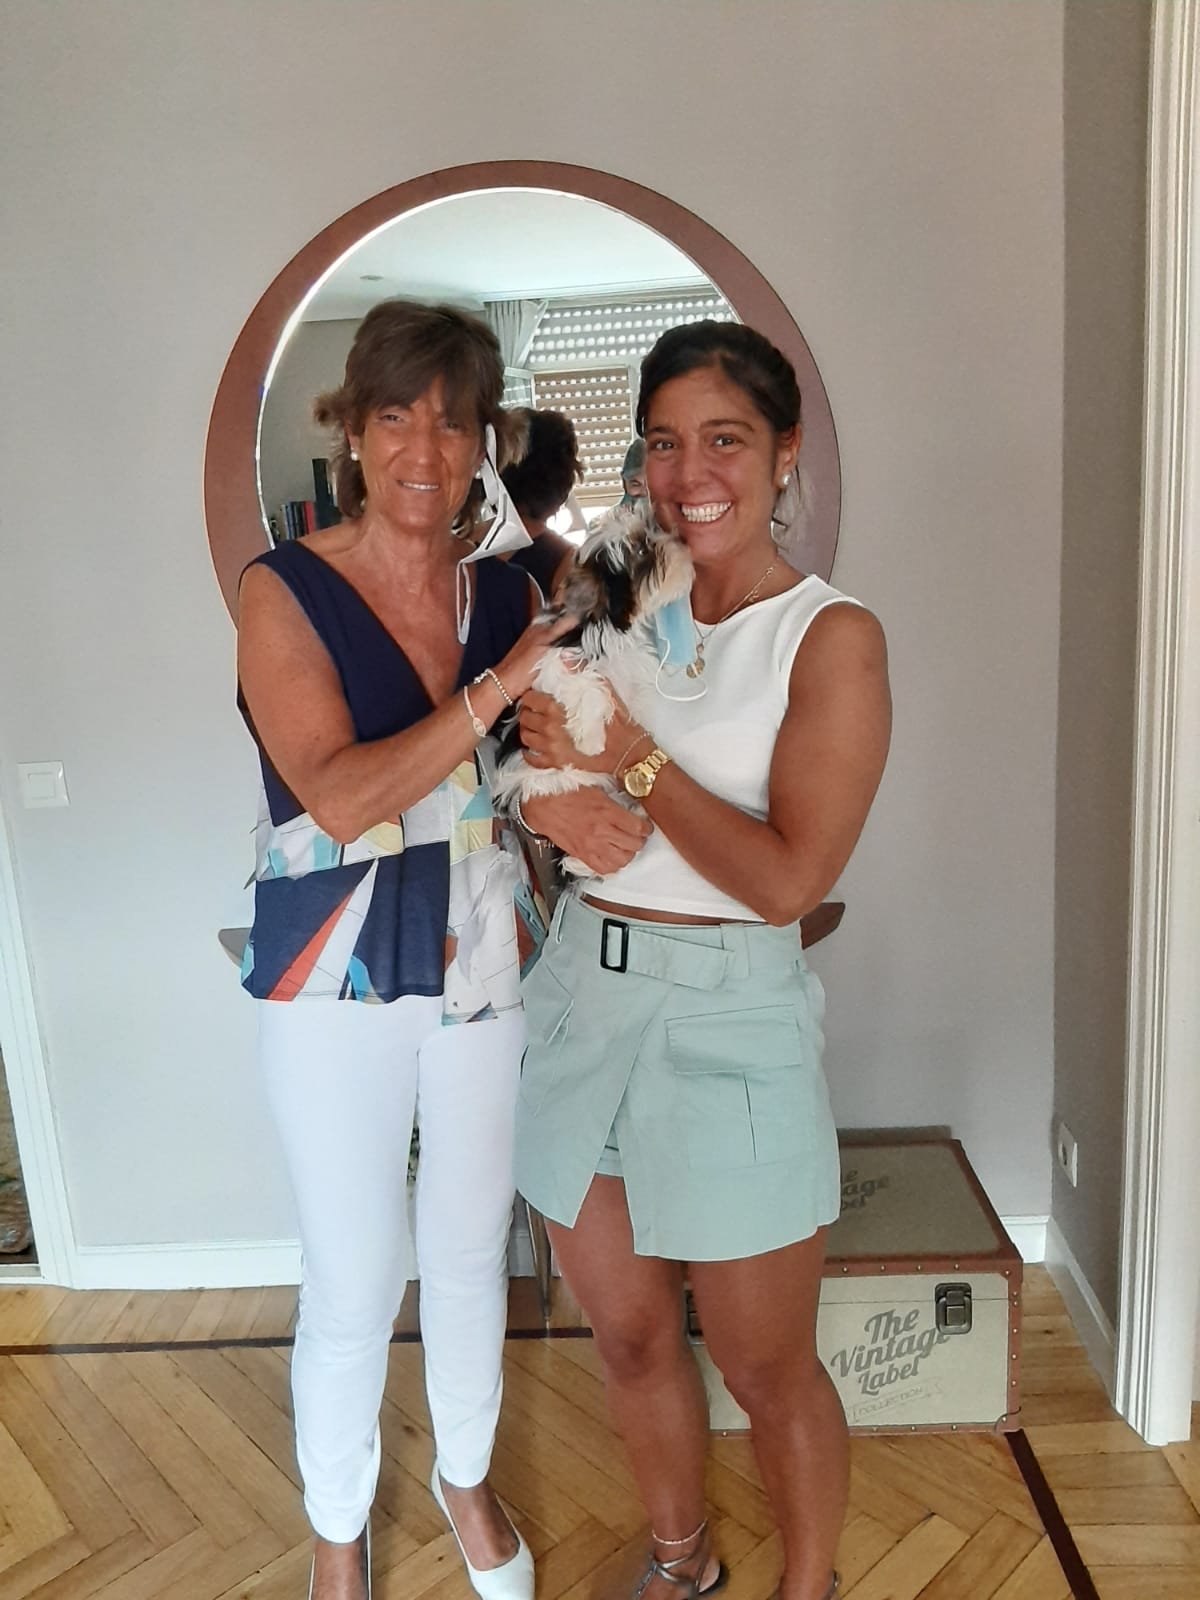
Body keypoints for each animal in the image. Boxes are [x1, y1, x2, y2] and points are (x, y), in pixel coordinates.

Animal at [492, 501, 694, 875]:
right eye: (640, 549)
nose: (680, 542)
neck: (613, 626)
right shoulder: (555, 662)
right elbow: (589, 682)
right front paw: (590, 739)